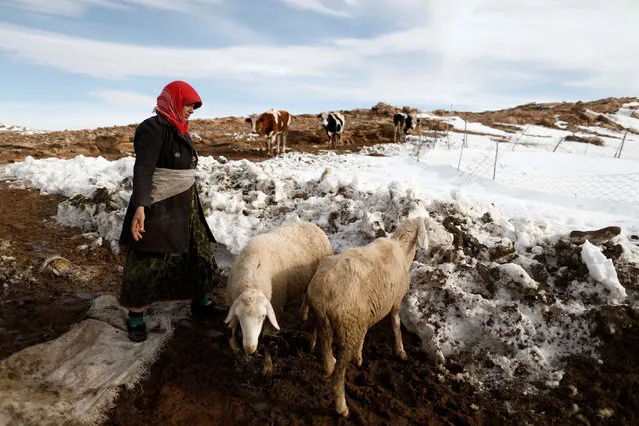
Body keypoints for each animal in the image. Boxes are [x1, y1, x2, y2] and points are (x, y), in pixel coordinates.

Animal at [225, 221, 336, 378]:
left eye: (263, 316)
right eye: (240, 316)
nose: (250, 348)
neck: (251, 281)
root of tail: (312, 225)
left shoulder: (275, 308)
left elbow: (266, 338)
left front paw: (268, 367)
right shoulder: (234, 302)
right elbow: (230, 328)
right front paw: (235, 348)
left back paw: (312, 344)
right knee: (307, 296)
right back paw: (303, 313)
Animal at [302, 216, 448, 416]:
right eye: (431, 228)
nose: (449, 240)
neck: (402, 250)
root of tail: (323, 289)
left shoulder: (365, 313)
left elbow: (365, 332)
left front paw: (359, 356)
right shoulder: (395, 301)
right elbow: (396, 324)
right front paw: (400, 351)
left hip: (330, 320)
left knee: (324, 348)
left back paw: (326, 360)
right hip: (348, 325)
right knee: (339, 373)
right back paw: (342, 407)